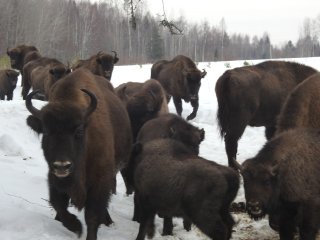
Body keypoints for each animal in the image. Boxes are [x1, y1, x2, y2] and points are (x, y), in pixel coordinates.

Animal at [23, 68, 131, 240]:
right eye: (46, 131)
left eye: (79, 131)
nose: (62, 165)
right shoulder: (54, 179)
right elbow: (58, 205)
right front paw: (76, 227)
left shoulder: (99, 181)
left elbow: (92, 215)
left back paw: (108, 221)